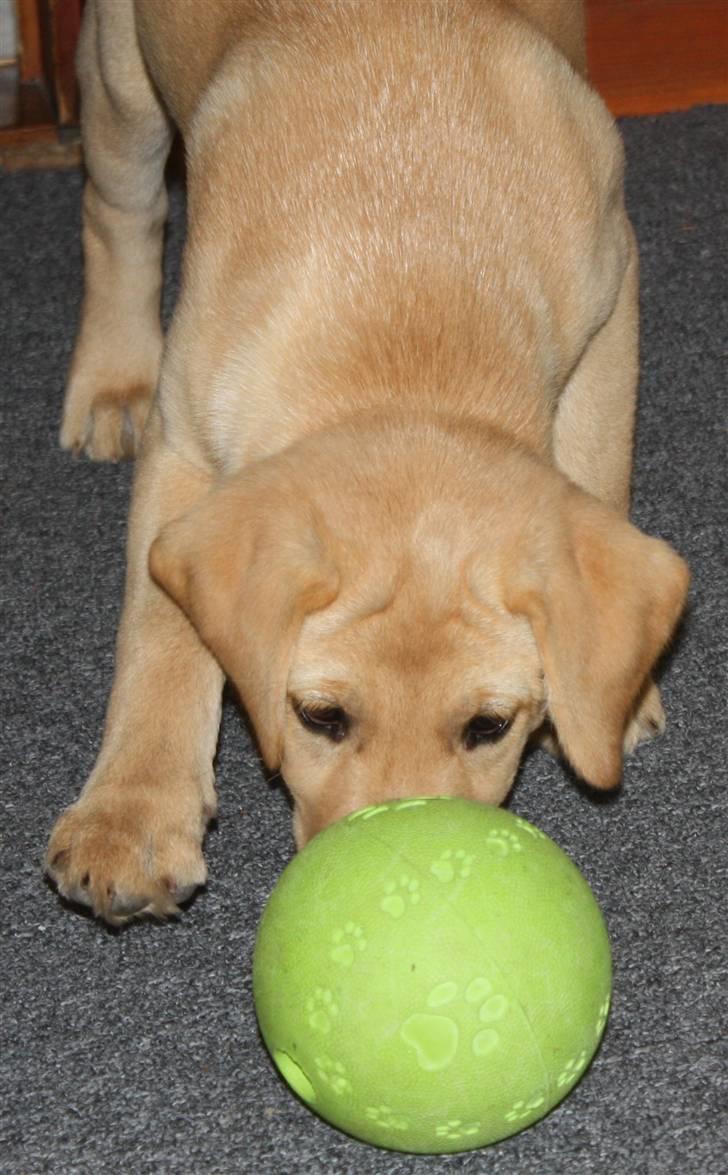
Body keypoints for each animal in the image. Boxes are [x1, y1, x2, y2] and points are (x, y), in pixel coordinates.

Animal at [46, 0, 690, 921]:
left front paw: (616, 693)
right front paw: (132, 815)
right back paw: (109, 378)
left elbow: (602, 461)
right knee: (117, 214)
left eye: (488, 727)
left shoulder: (613, 294)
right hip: (119, 83)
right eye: (320, 717)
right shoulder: (187, 427)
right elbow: (160, 630)